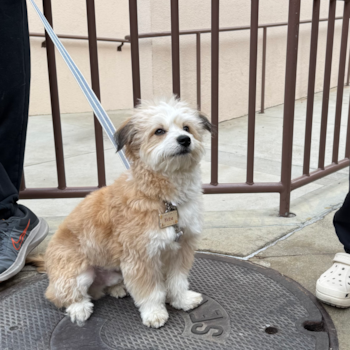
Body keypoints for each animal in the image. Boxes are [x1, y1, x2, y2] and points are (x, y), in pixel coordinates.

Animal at [40, 96, 212, 328]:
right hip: (75, 273)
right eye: (159, 131)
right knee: (64, 295)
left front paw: (181, 300)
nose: (185, 140)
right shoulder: (141, 256)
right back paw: (79, 308)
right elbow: (150, 292)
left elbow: (177, 280)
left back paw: (117, 289)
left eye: (187, 128)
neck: (165, 199)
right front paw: (154, 313)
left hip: (115, 271)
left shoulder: (180, 248)